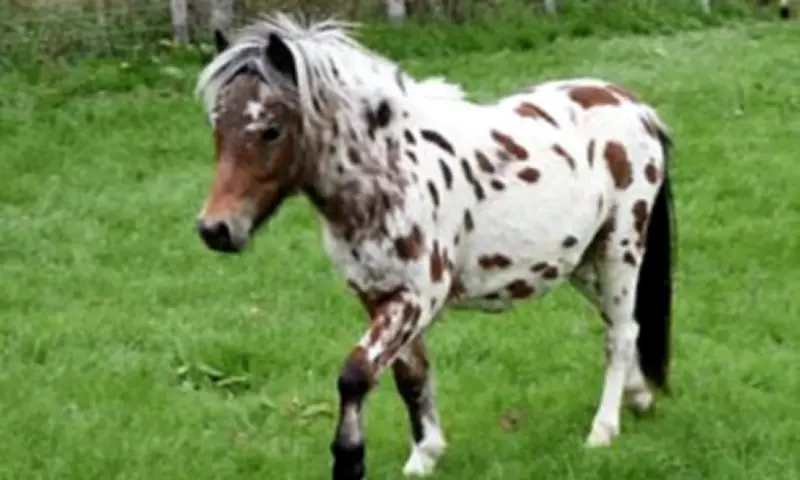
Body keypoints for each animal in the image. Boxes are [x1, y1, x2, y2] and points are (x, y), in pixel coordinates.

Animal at [193, 13, 677, 479]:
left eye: (270, 130)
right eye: (216, 125)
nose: (215, 229)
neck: (389, 174)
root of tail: (637, 108)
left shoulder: (418, 296)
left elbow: (356, 374)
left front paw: (349, 460)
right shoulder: (376, 295)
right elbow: (410, 377)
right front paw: (424, 455)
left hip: (620, 248)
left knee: (618, 334)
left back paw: (603, 430)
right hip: (578, 262)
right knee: (628, 323)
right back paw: (640, 396)